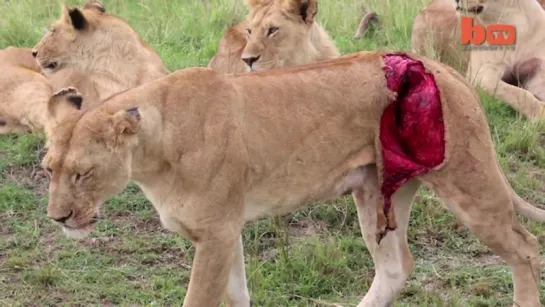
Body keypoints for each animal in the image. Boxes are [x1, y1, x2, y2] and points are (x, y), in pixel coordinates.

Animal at [43, 51, 544, 307]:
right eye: (48, 169)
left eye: (83, 173)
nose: (58, 218)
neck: (153, 147)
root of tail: (446, 68)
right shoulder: (227, 230)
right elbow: (237, 294)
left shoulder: (215, 232)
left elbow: (200, 299)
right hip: (376, 192)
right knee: (396, 266)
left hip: (467, 179)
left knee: (524, 245)